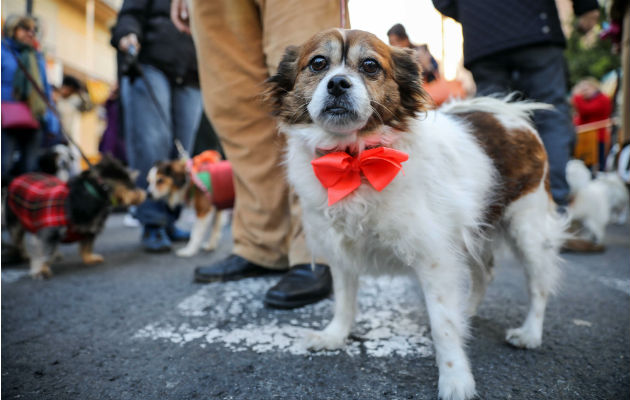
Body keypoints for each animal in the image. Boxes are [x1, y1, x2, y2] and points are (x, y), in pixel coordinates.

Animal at [4, 155, 146, 280]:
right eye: (132, 185)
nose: (144, 194)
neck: (94, 194)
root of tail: (16, 178)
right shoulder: (49, 232)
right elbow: (43, 252)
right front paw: (41, 270)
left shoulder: (90, 230)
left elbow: (87, 247)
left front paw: (90, 258)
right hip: (15, 222)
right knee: (18, 241)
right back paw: (24, 254)